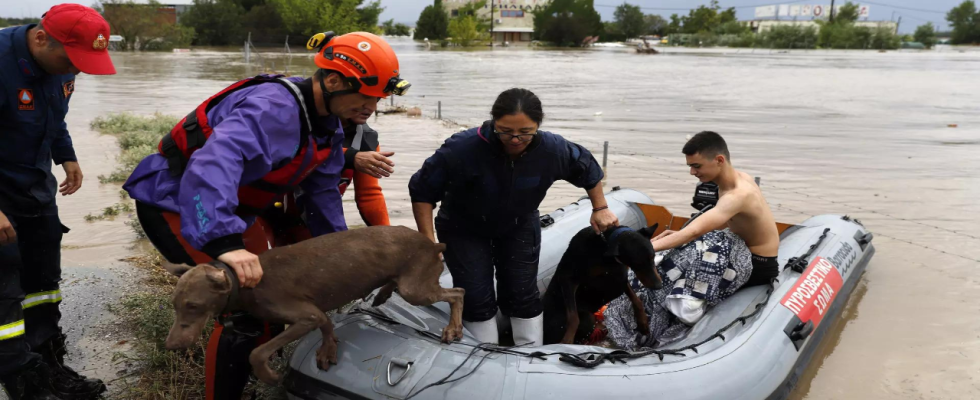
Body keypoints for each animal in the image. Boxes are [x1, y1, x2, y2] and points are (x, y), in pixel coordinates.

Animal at [163, 225, 466, 384]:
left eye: (193, 305)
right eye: (175, 305)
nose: (171, 345)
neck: (245, 282)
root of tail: (433, 244)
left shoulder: (304, 316)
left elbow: (256, 353)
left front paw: (270, 376)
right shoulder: (316, 314)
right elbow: (327, 323)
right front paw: (328, 349)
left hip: (415, 289)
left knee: (458, 292)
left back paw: (453, 329)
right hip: (409, 282)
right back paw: (381, 294)